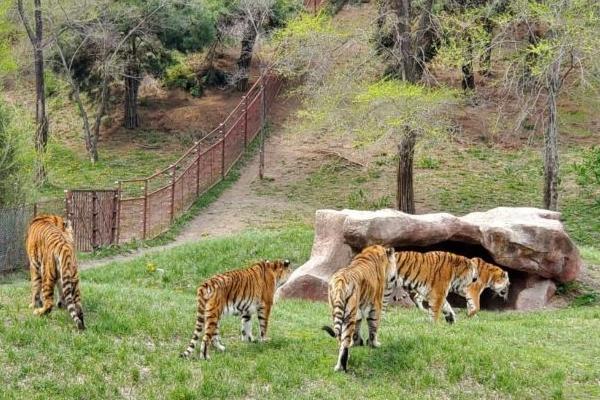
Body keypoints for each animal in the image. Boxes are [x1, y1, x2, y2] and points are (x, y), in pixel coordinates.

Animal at [322, 245, 396, 374]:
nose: (394, 278)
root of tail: (340, 282)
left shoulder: (359, 310)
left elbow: (358, 326)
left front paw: (357, 343)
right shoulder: (376, 306)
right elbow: (373, 328)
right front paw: (374, 344)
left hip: (337, 311)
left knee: (340, 339)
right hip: (348, 316)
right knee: (344, 343)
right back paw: (342, 366)